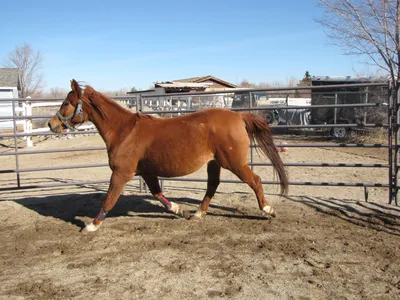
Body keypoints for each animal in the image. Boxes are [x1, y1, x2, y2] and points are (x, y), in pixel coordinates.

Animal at [48, 80, 288, 232]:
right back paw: (197, 214)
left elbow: (109, 199)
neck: (124, 131)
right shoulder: (147, 172)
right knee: (212, 185)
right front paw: (178, 210)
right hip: (214, 163)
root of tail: (238, 116)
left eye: (67, 102)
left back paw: (268, 209)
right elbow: (158, 194)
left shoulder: (121, 173)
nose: (52, 124)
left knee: (255, 180)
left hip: (234, 163)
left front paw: (92, 225)